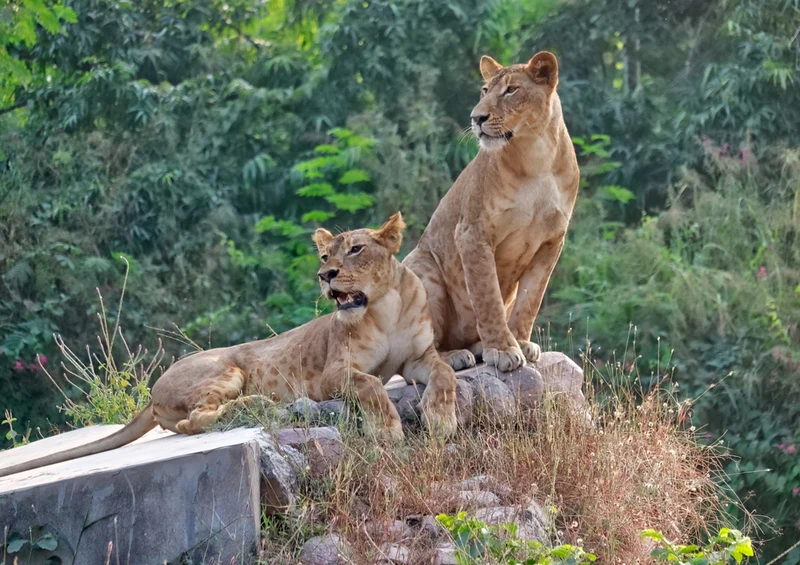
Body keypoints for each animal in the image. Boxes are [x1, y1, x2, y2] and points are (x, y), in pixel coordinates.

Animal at [0, 213, 457, 478]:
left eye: (356, 249)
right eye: (325, 255)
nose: (325, 275)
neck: (384, 307)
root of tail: (152, 393)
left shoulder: (418, 358)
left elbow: (445, 372)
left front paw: (442, 420)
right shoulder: (333, 373)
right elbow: (373, 385)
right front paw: (387, 430)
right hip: (226, 369)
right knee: (195, 420)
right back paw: (257, 405)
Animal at [403, 51, 580, 372]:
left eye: (511, 90)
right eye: (484, 91)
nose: (476, 118)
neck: (536, 155)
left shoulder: (552, 241)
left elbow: (530, 298)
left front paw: (520, 342)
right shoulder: (472, 233)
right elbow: (487, 295)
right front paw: (502, 349)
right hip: (422, 270)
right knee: (419, 353)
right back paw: (455, 356)